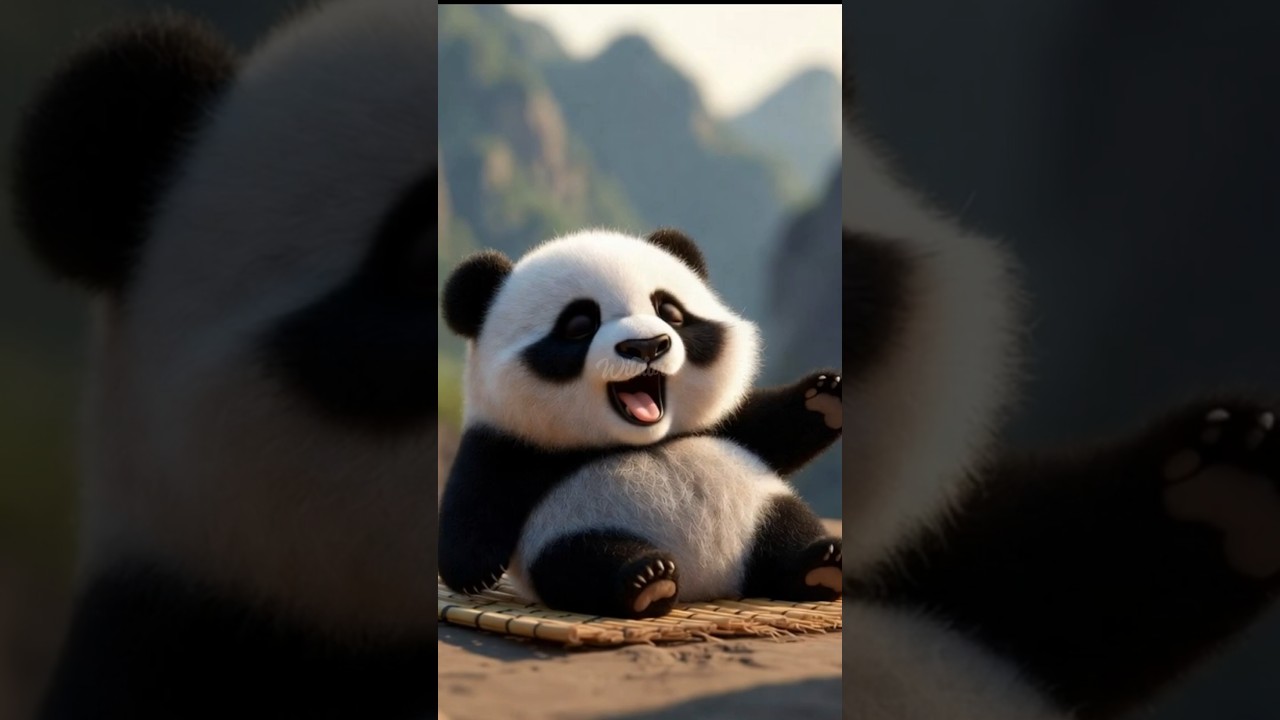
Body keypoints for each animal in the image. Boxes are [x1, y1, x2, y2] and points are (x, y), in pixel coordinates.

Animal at [437, 228, 844, 619]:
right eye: (579, 324)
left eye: (670, 311)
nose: (647, 346)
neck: (644, 440)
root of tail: (710, 581)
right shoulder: (510, 442)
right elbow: (477, 496)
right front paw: (475, 573)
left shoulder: (723, 425)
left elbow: (768, 426)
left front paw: (825, 396)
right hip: (571, 531)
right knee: (582, 564)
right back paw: (648, 580)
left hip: (759, 506)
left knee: (786, 527)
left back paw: (822, 562)